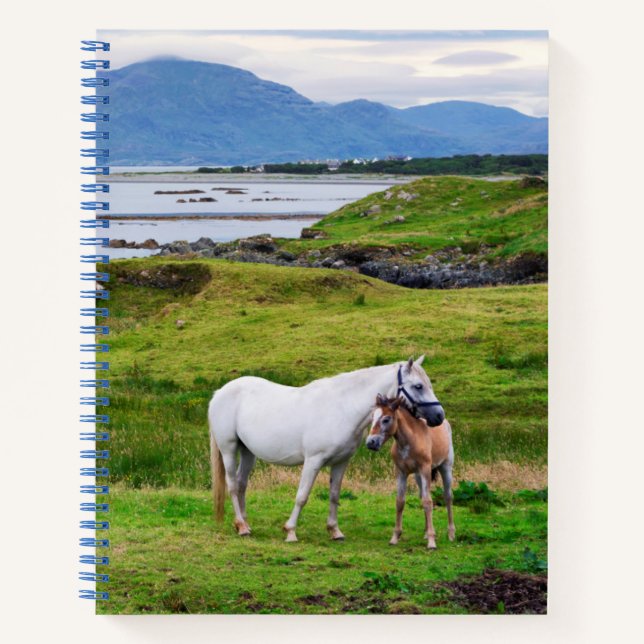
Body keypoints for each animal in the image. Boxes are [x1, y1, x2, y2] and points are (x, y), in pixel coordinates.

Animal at [208, 356, 445, 542]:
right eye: (418, 386)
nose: (439, 416)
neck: (343, 408)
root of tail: (219, 392)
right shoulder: (313, 460)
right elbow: (302, 495)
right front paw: (290, 531)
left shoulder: (341, 462)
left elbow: (334, 495)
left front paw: (334, 531)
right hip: (229, 449)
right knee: (232, 485)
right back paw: (241, 527)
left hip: (248, 452)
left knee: (241, 484)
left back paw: (244, 524)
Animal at [366, 394, 455, 549]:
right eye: (373, 417)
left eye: (386, 419)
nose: (371, 442)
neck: (409, 442)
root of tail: (445, 423)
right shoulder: (401, 472)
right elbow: (400, 501)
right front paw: (395, 537)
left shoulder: (425, 469)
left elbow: (428, 502)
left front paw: (432, 541)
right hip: (418, 476)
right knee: (422, 495)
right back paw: (425, 532)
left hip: (445, 468)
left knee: (448, 497)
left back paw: (451, 534)